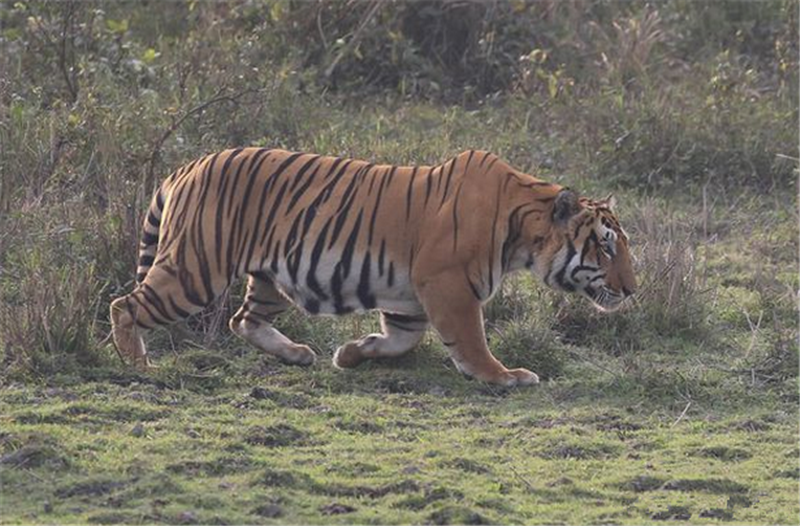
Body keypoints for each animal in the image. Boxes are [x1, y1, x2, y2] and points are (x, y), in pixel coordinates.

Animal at [111, 148, 636, 388]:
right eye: (607, 247)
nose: (632, 290)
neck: (523, 230)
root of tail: (189, 165)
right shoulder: (448, 285)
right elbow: (472, 341)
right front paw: (505, 376)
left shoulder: (413, 296)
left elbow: (402, 339)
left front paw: (351, 353)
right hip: (195, 268)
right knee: (125, 304)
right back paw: (138, 364)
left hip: (268, 279)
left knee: (244, 320)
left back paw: (298, 354)